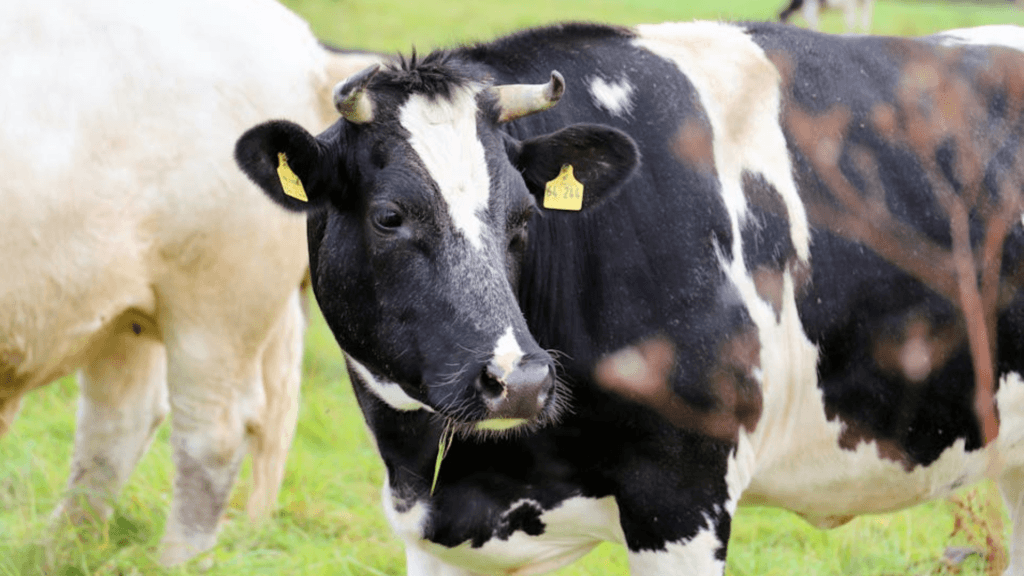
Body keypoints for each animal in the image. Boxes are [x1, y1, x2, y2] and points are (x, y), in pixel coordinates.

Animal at [0, 0, 379, 566]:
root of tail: (302, 44)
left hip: (217, 306)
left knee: (211, 435)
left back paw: (173, 562)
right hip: (119, 305)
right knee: (118, 421)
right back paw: (61, 551)